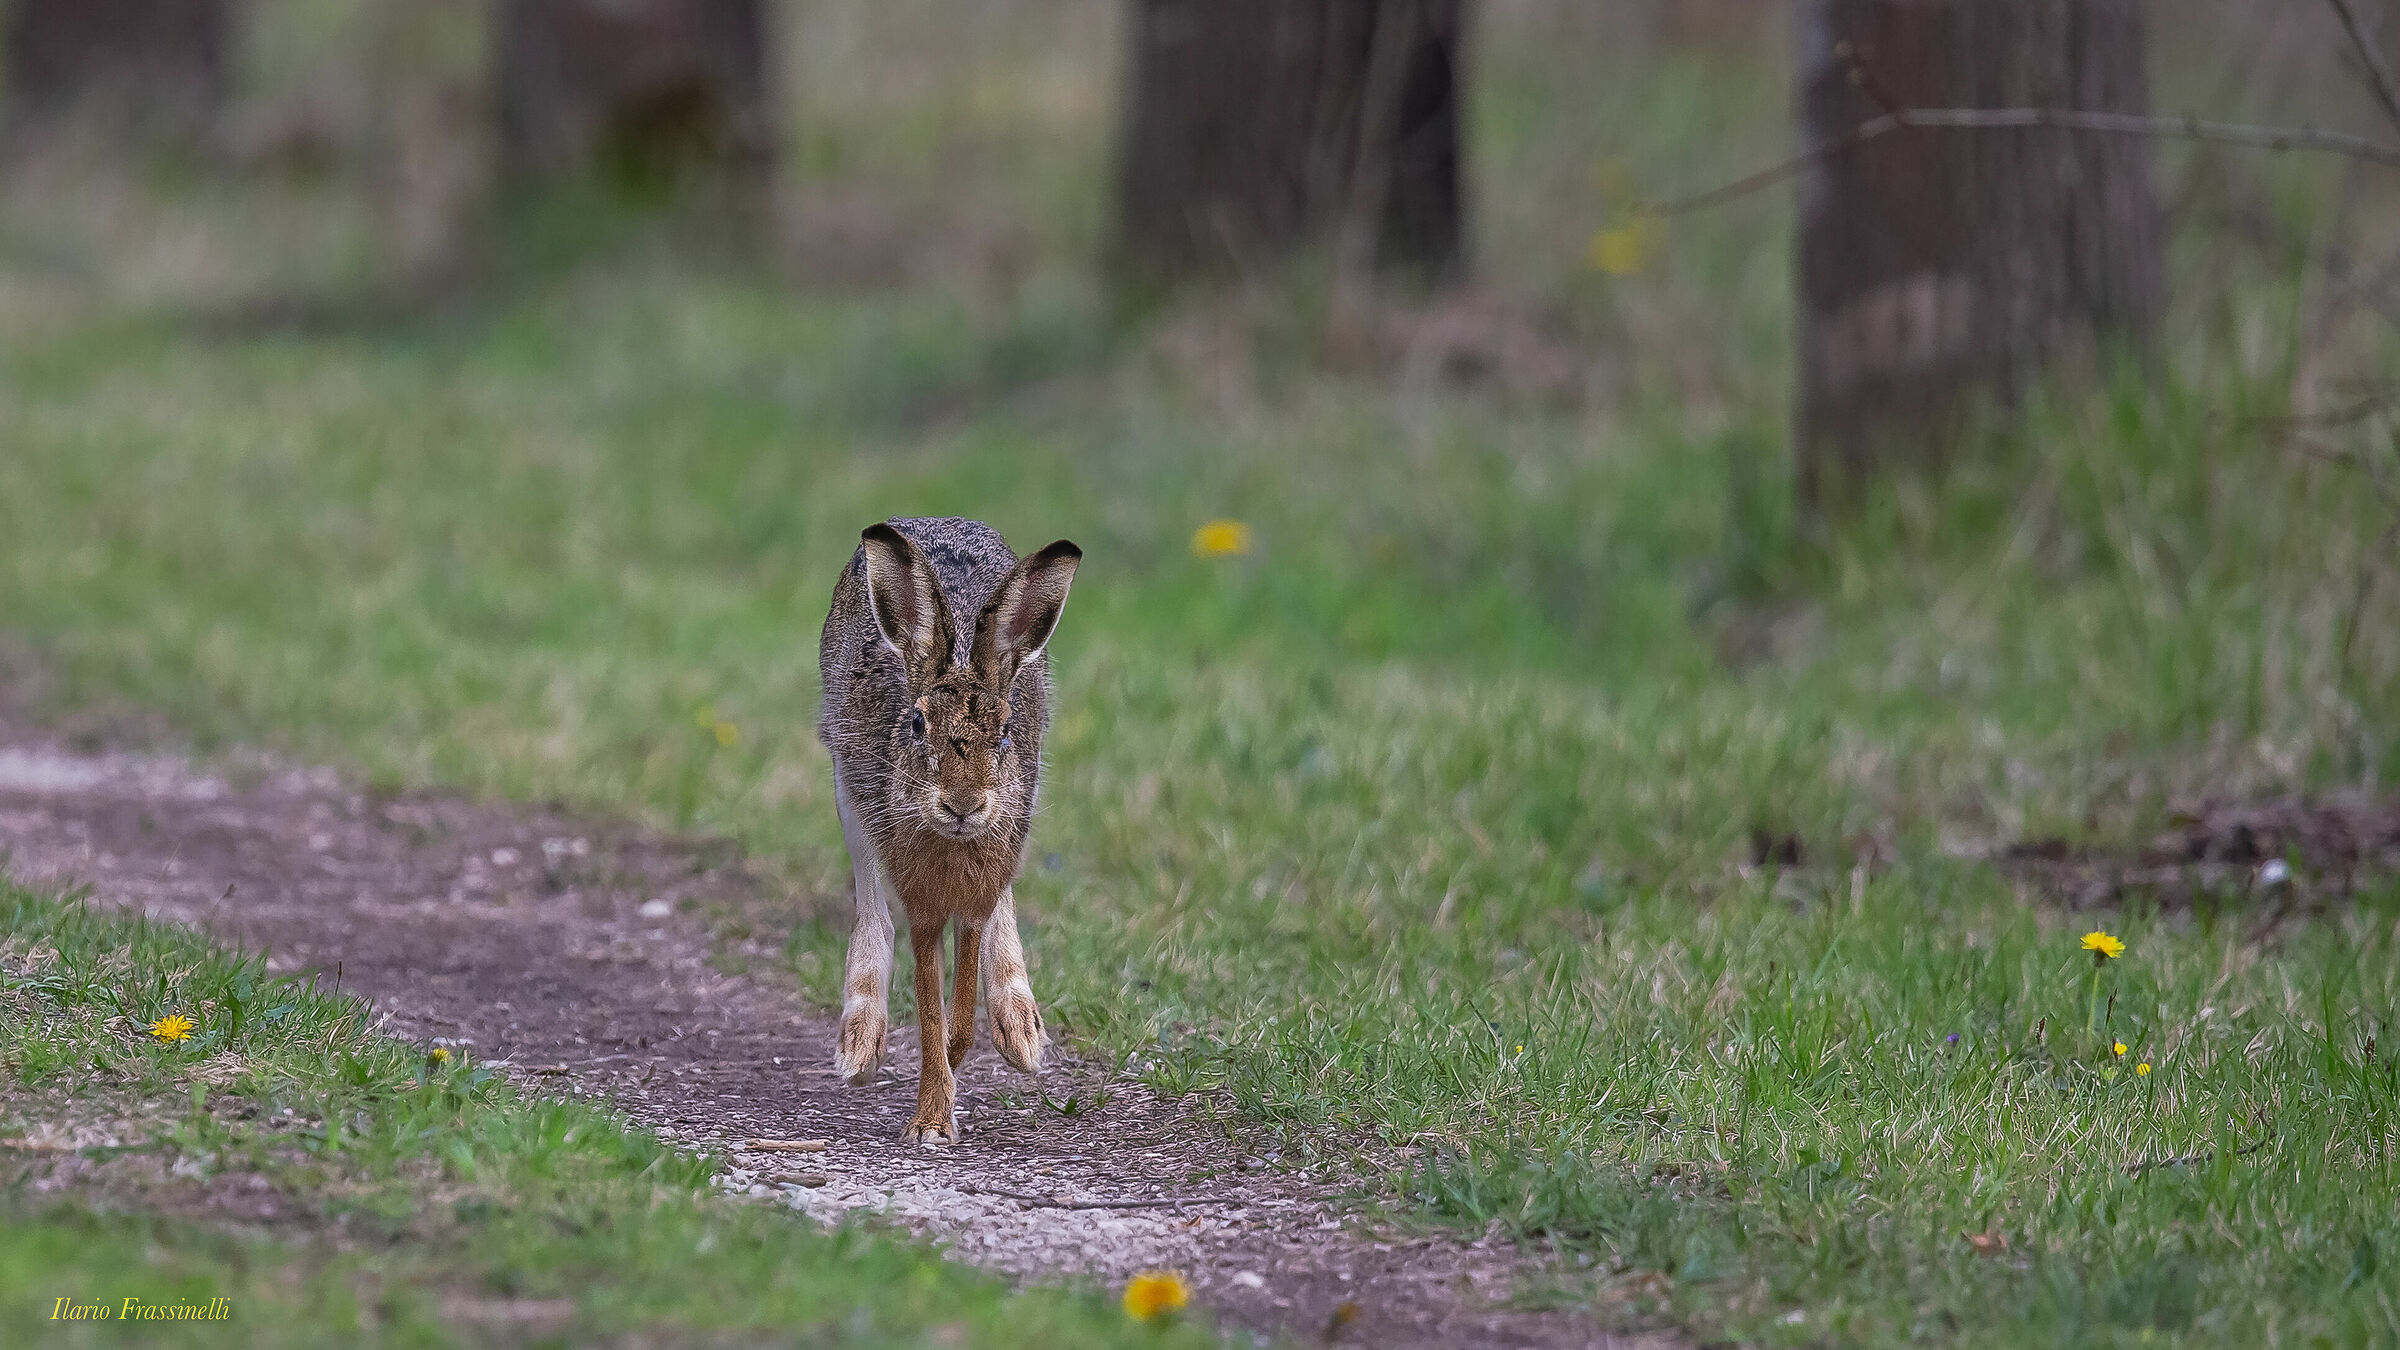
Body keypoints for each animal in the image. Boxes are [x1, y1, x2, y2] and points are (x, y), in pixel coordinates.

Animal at [818, 517, 1080, 1144]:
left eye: (1004, 732)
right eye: (916, 724)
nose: (963, 804)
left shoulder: (976, 897)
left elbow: (958, 1016)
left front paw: (949, 1091)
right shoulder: (923, 908)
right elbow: (932, 1010)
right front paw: (932, 1116)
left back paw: (1020, 1028)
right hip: (846, 786)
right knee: (870, 902)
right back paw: (859, 1042)